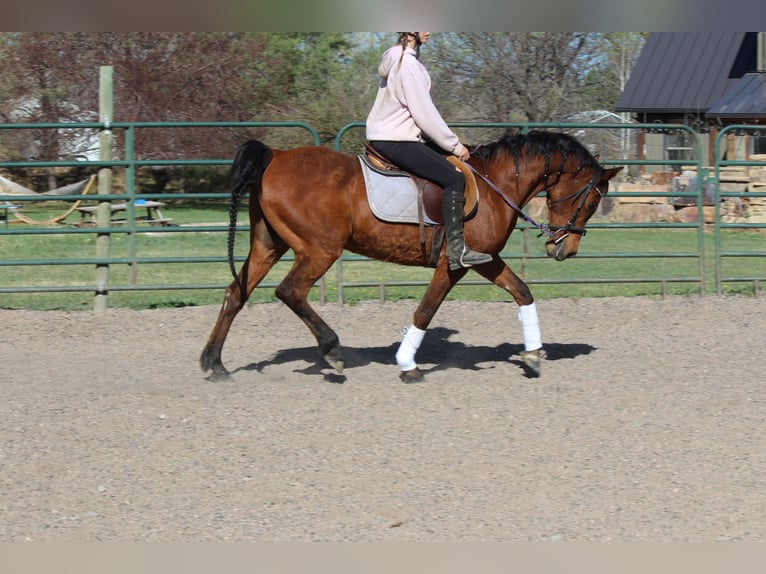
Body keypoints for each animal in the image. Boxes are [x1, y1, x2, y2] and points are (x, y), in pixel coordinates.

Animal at [200, 130, 622, 382]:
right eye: (591, 202)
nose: (564, 249)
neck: (493, 186)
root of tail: (275, 156)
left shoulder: (485, 259)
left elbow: (522, 291)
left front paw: (533, 355)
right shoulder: (453, 265)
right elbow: (425, 311)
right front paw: (407, 364)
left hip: (270, 245)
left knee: (235, 294)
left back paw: (214, 363)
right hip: (319, 250)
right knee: (289, 292)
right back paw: (333, 350)